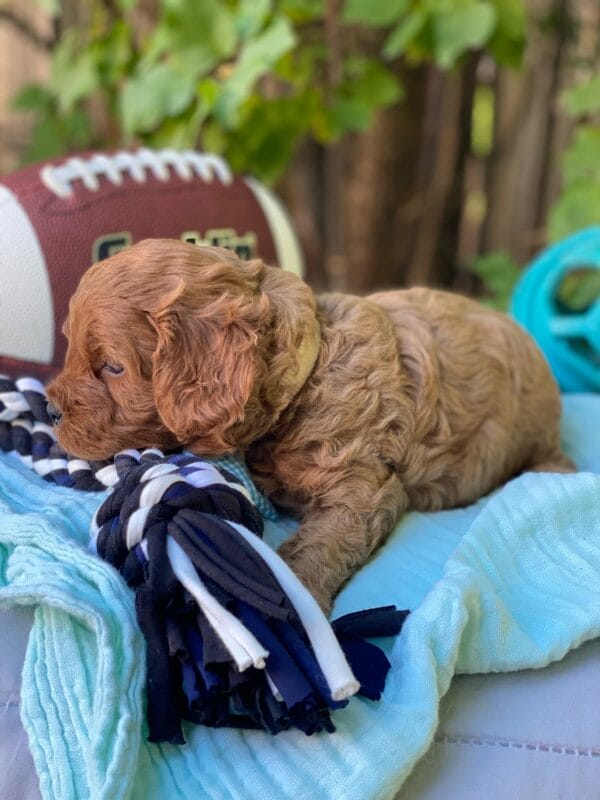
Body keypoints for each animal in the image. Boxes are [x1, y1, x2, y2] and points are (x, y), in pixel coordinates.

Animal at [45, 238, 572, 612]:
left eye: (112, 367)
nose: (50, 410)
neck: (308, 374)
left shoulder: (361, 486)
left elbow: (319, 544)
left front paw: (295, 604)